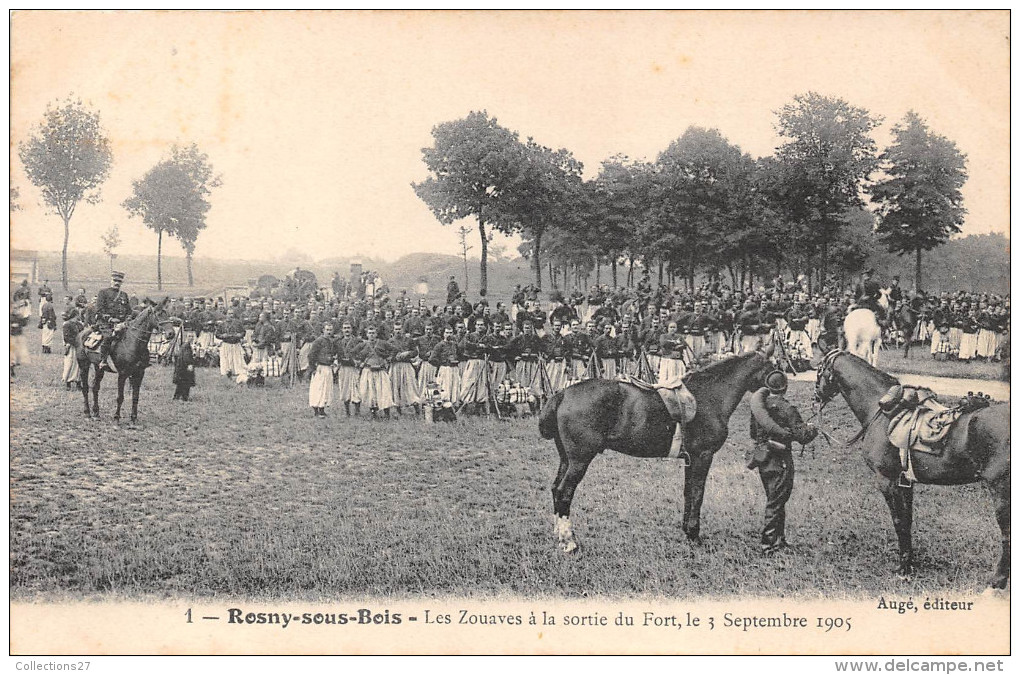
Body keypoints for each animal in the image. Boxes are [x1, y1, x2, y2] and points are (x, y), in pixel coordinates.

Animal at [538, 348, 767, 554]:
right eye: (773, 367)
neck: (709, 395)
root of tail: (562, 394)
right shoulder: (703, 456)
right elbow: (698, 494)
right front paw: (694, 535)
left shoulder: (690, 459)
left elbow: (688, 493)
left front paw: (687, 532)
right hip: (579, 461)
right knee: (564, 493)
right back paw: (570, 543)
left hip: (566, 459)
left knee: (555, 489)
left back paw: (560, 537)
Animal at [811, 350, 1011, 591]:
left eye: (820, 369)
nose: (816, 396)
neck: (881, 412)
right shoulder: (905, 482)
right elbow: (907, 520)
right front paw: (909, 563)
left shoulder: (886, 481)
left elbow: (898, 522)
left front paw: (902, 568)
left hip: (1001, 491)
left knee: (1007, 535)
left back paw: (998, 581)